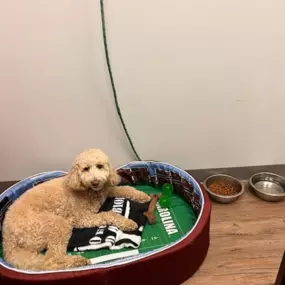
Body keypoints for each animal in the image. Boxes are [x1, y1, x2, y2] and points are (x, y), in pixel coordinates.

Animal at [3, 148, 150, 270]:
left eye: (100, 166)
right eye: (85, 169)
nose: (95, 182)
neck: (90, 191)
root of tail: (8, 240)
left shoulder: (107, 190)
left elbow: (124, 189)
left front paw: (142, 195)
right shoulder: (81, 218)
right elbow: (107, 214)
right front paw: (127, 222)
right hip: (56, 224)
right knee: (52, 259)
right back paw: (77, 262)